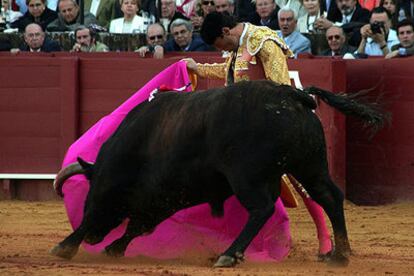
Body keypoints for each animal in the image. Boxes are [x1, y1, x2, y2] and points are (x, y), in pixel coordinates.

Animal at [50, 80, 386, 268]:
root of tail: (293, 96)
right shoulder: (163, 197)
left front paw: (66, 246)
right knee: (329, 197)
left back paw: (229, 254)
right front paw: (113, 248)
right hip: (309, 165)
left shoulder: (112, 186)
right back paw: (339, 254)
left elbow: (95, 214)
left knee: (262, 208)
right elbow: (138, 226)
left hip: (246, 176)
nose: (94, 239)